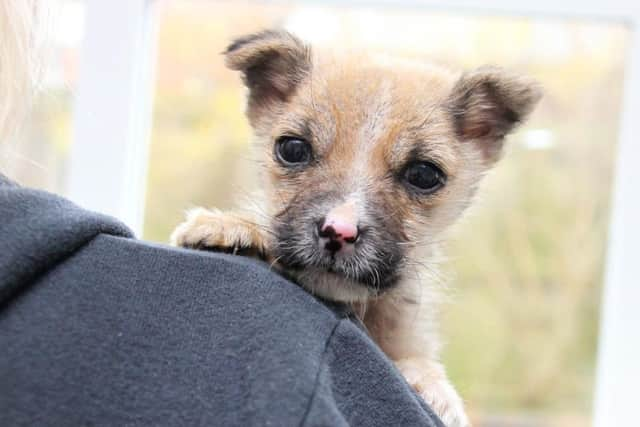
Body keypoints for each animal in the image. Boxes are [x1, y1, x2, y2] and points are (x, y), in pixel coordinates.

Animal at [171, 30, 540, 427]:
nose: (339, 232)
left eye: (424, 174)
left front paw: (435, 387)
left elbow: (417, 359)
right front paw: (230, 226)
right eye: (293, 149)